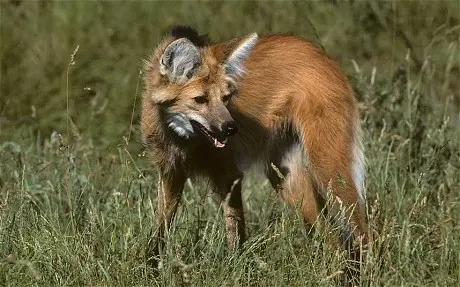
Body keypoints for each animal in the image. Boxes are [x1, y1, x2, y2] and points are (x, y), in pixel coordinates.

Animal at [142, 25, 368, 262]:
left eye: (225, 98)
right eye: (200, 100)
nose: (231, 128)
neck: (183, 140)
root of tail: (322, 54)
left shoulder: (229, 174)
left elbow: (235, 231)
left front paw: (233, 264)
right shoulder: (171, 173)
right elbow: (160, 229)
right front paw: (151, 265)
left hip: (327, 168)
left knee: (361, 231)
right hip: (286, 178)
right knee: (333, 239)